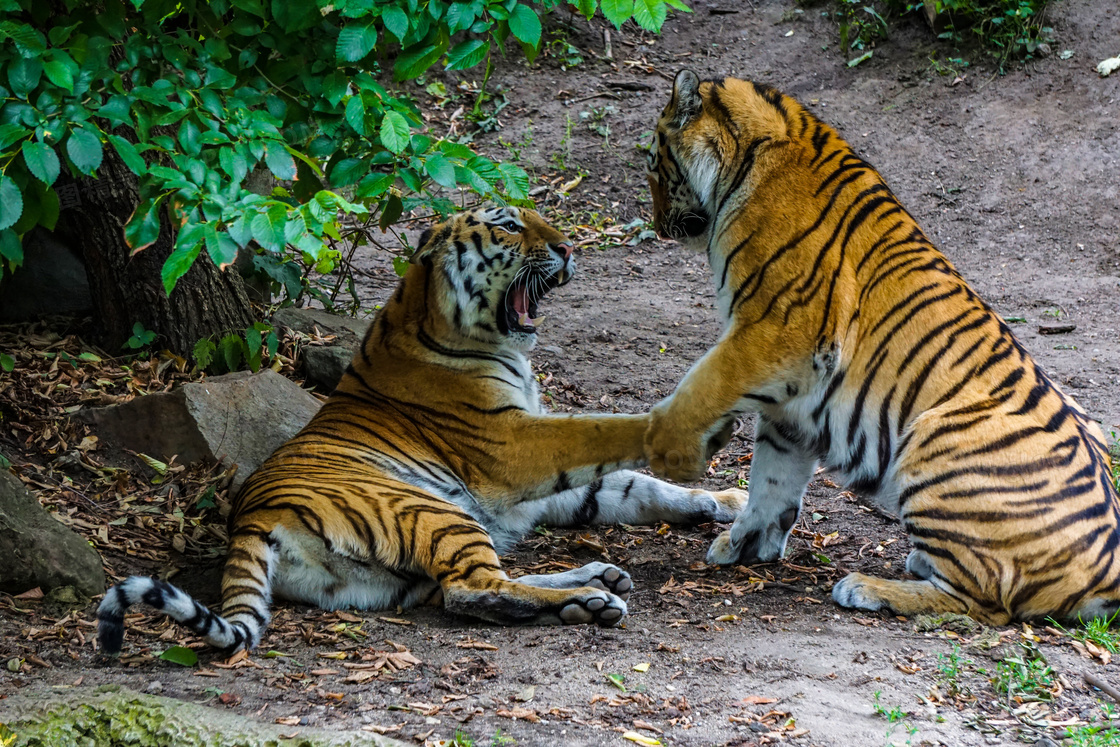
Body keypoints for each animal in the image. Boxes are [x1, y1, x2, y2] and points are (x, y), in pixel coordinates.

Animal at [98, 204, 743, 654]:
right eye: (511, 226)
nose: (567, 248)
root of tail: (250, 519)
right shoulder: (514, 446)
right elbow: (601, 432)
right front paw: (683, 433)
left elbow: (639, 487)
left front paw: (725, 502)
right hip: (430, 509)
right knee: (472, 588)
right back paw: (590, 597)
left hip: (395, 575)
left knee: (471, 585)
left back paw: (593, 583)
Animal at [640, 69, 1120, 622]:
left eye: (654, 164)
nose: (657, 226)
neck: (748, 157)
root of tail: (1110, 567)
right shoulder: (793, 394)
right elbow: (771, 478)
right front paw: (745, 543)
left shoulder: (773, 331)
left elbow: (702, 384)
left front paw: (666, 444)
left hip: (934, 439)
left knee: (982, 600)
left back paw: (867, 587)